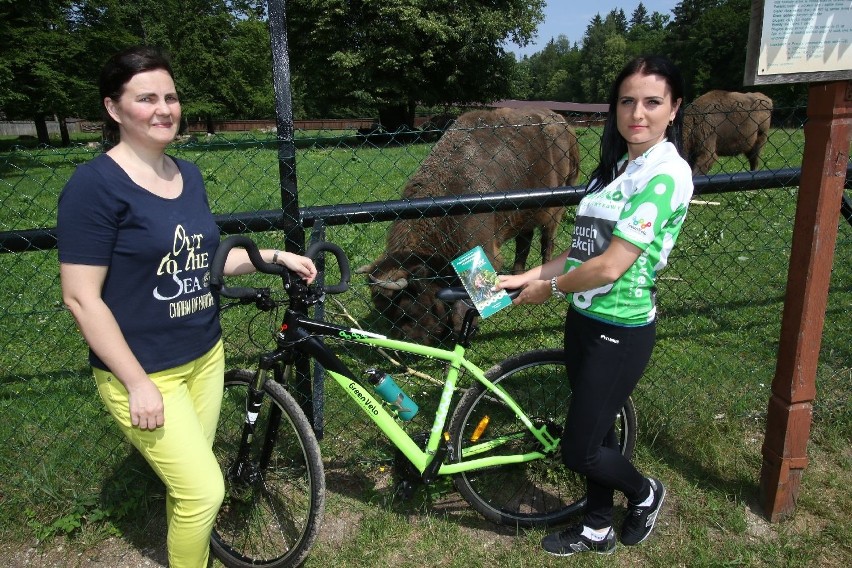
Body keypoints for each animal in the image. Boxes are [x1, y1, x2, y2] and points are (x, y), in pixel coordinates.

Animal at [356, 108, 584, 344]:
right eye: (383, 311)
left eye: (404, 309)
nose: (406, 341)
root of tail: (563, 123)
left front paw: (465, 328)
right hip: (524, 216)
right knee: (524, 241)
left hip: (555, 209)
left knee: (547, 240)